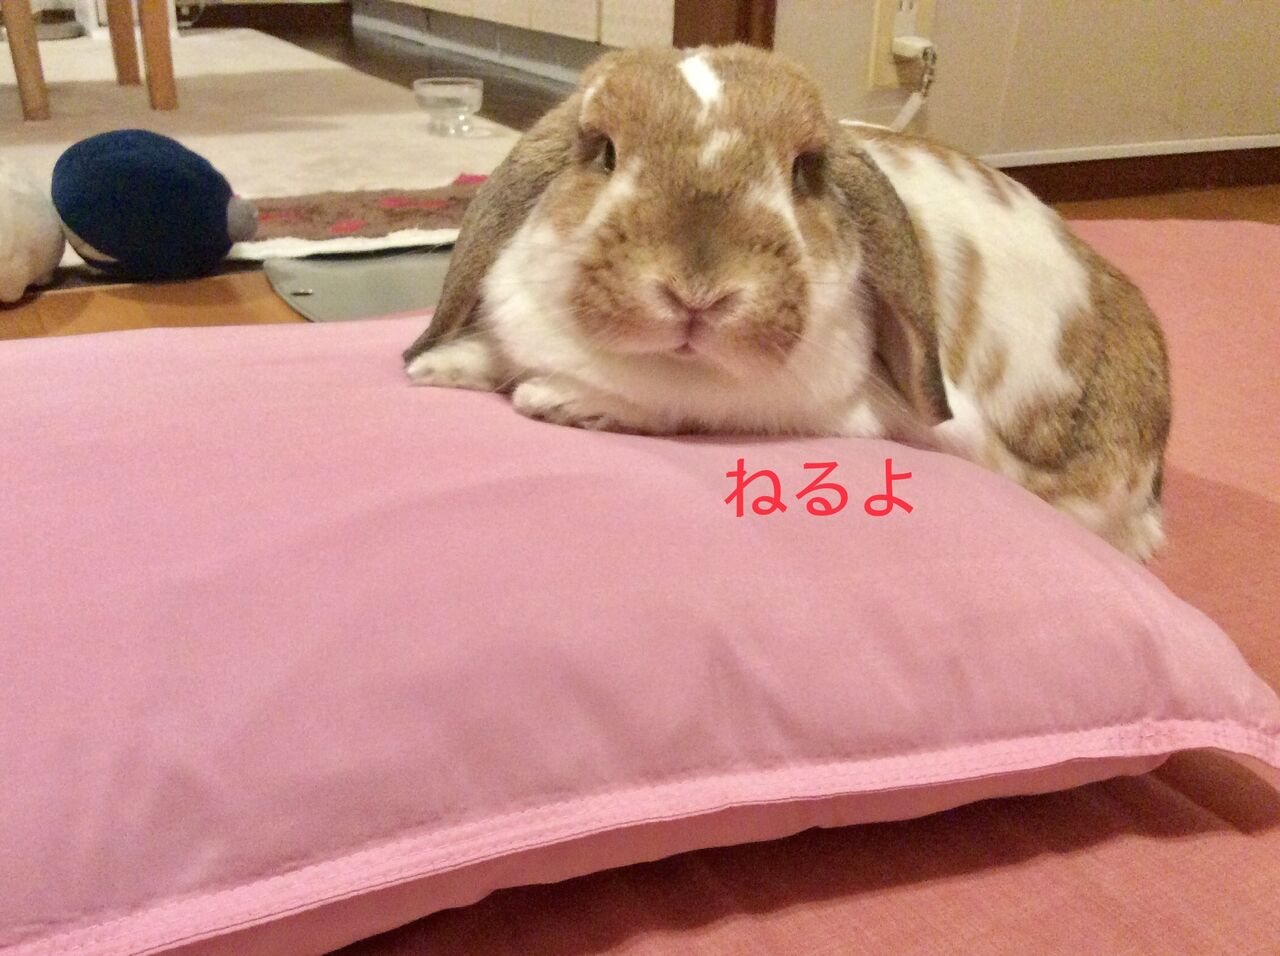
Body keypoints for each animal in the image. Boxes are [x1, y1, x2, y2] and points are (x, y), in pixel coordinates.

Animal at [402, 45, 1171, 562]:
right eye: (604, 154)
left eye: (804, 172)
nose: (699, 289)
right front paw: (441, 367)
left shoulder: (824, 408)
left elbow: (680, 409)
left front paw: (560, 399)